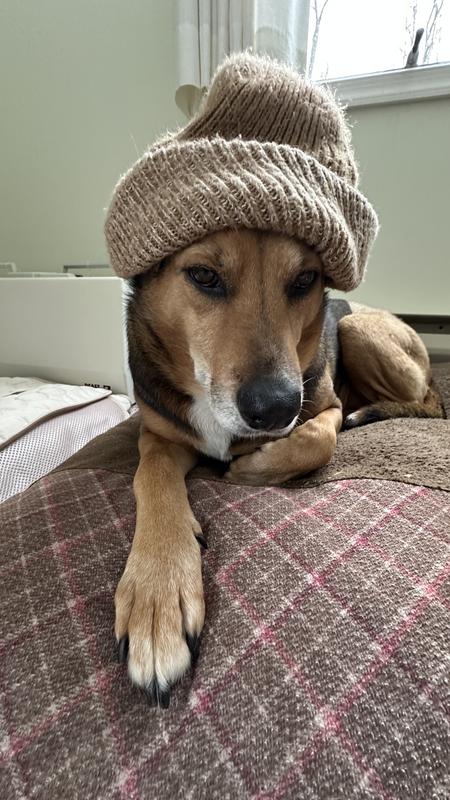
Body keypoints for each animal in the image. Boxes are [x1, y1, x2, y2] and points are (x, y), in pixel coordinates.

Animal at [115, 228, 444, 707]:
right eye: (203, 276)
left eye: (305, 280)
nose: (275, 409)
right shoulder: (159, 436)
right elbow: (151, 475)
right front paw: (157, 593)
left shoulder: (324, 407)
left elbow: (317, 441)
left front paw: (251, 467)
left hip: (357, 328)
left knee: (425, 402)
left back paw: (369, 411)